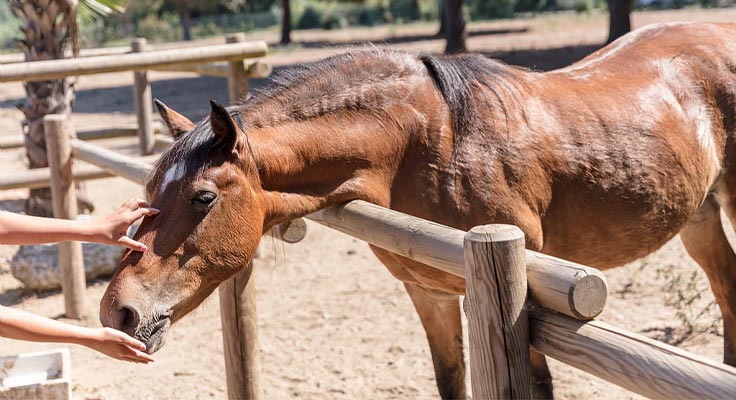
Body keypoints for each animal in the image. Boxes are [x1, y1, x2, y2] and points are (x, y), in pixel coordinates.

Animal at [100, 22, 736, 398]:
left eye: (203, 197)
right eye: (150, 189)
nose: (117, 312)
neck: (430, 140)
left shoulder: (526, 308)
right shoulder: (428, 292)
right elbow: (449, 379)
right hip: (700, 217)